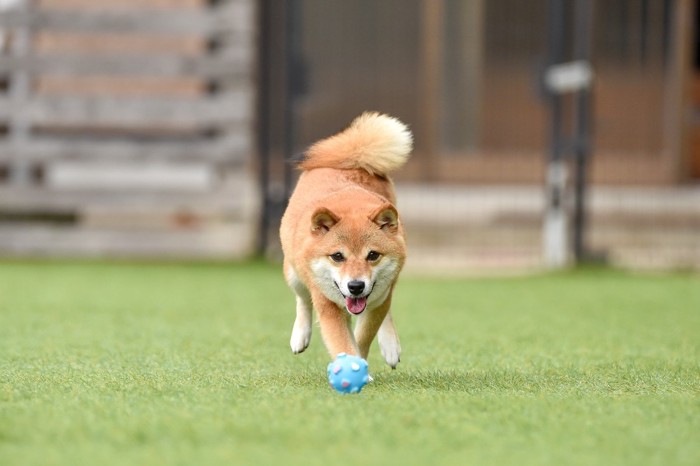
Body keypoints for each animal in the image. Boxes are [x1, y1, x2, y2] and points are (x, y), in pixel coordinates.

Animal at [278, 112, 410, 368]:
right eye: (337, 256)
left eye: (373, 255)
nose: (356, 286)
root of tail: (353, 159)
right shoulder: (328, 307)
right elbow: (344, 343)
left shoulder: (376, 301)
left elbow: (362, 336)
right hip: (294, 273)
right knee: (303, 300)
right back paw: (300, 336)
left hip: (388, 287)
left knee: (386, 309)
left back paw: (390, 346)